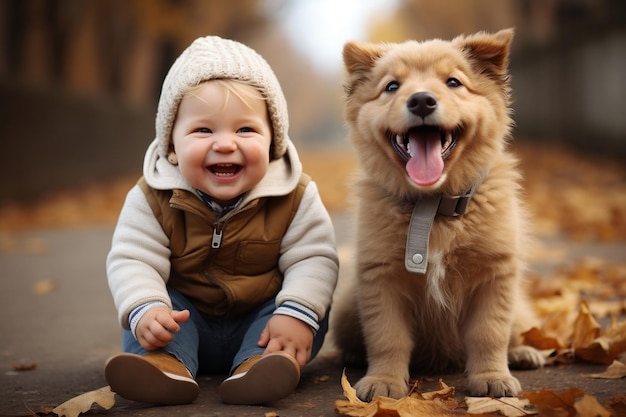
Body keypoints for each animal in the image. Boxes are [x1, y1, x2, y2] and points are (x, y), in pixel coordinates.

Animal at [334, 29, 544, 400]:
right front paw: (383, 381)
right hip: (346, 309)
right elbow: (387, 337)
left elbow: (490, 333)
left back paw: (522, 352)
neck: (432, 207)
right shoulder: (381, 278)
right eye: (392, 86)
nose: (421, 101)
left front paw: (492, 377)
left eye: (453, 82)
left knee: (516, 328)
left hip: (518, 306)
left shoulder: (495, 275)